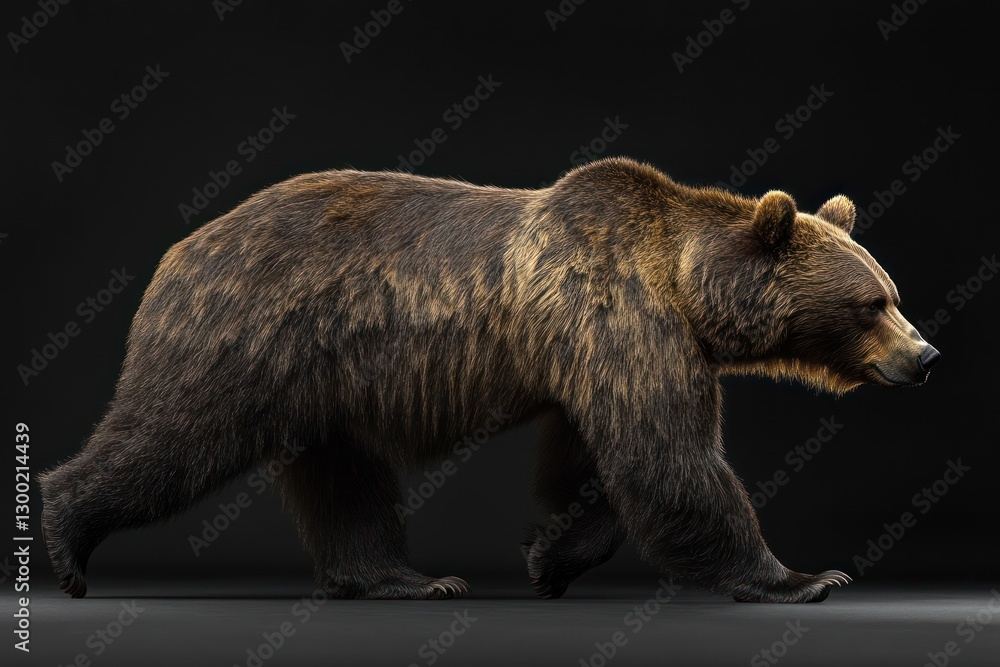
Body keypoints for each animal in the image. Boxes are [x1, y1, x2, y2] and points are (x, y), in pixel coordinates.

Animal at [39, 157, 939, 602]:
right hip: (243, 339)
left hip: (321, 381)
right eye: (873, 302)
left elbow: (600, 465)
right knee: (170, 439)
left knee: (343, 480)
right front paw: (804, 576)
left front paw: (549, 557)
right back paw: (64, 538)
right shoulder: (618, 314)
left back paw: (408, 578)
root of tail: (180, 250)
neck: (686, 285)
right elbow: (670, 457)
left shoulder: (593, 351)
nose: (926, 354)